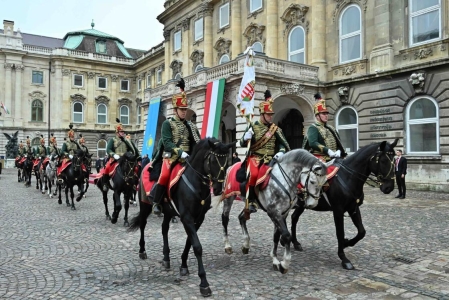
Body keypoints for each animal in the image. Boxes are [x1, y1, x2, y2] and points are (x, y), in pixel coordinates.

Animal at [126, 139, 231, 298]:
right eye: (213, 160)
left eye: (227, 161)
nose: (218, 189)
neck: (197, 184)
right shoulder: (187, 218)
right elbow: (197, 246)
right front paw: (204, 283)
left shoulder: (198, 219)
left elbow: (189, 242)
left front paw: (183, 266)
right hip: (145, 205)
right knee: (143, 224)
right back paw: (142, 251)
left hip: (168, 212)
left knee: (164, 229)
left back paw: (166, 258)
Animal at [290, 140, 396, 270]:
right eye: (383, 161)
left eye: (394, 159)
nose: (389, 187)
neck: (348, 177)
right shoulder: (338, 211)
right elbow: (340, 233)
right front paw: (344, 258)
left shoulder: (353, 208)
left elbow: (361, 231)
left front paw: (347, 243)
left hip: (301, 205)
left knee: (294, 218)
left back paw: (295, 242)